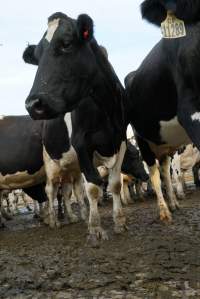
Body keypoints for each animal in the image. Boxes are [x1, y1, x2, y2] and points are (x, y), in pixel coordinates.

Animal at [24, 12, 129, 245]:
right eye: (36, 58)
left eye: (66, 44)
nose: (33, 104)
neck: (105, 107)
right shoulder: (82, 144)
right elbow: (93, 188)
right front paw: (96, 229)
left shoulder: (120, 140)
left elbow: (114, 184)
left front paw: (119, 222)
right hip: (51, 163)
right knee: (51, 191)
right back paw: (54, 221)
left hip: (71, 167)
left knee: (70, 190)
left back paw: (78, 216)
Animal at [125, 0, 200, 223]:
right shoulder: (190, 111)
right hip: (143, 141)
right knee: (155, 175)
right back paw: (164, 210)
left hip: (165, 147)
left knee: (165, 172)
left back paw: (173, 203)